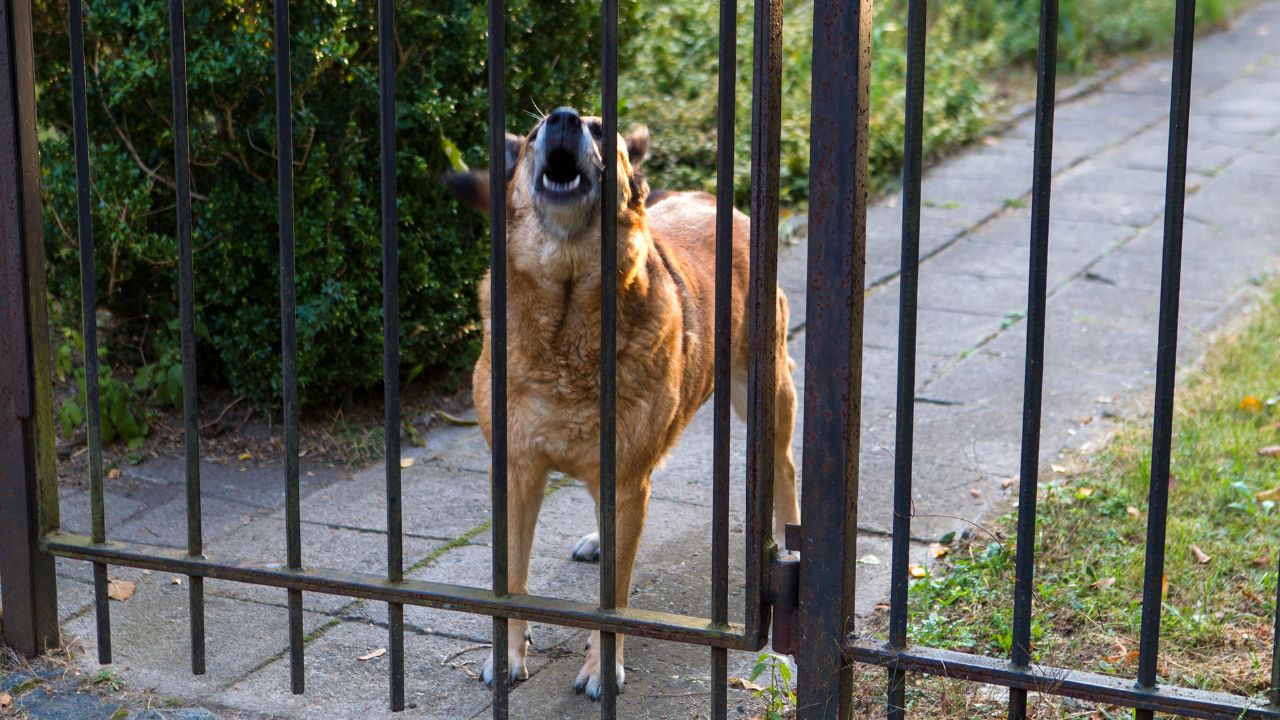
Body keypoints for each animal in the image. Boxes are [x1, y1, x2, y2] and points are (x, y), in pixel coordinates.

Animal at [445, 106, 793, 696]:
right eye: (535, 133)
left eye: (599, 128)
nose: (563, 118)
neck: (565, 325)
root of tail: (711, 199)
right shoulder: (516, 471)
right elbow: (511, 579)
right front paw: (507, 654)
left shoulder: (626, 479)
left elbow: (615, 597)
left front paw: (600, 668)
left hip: (765, 394)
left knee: (786, 469)